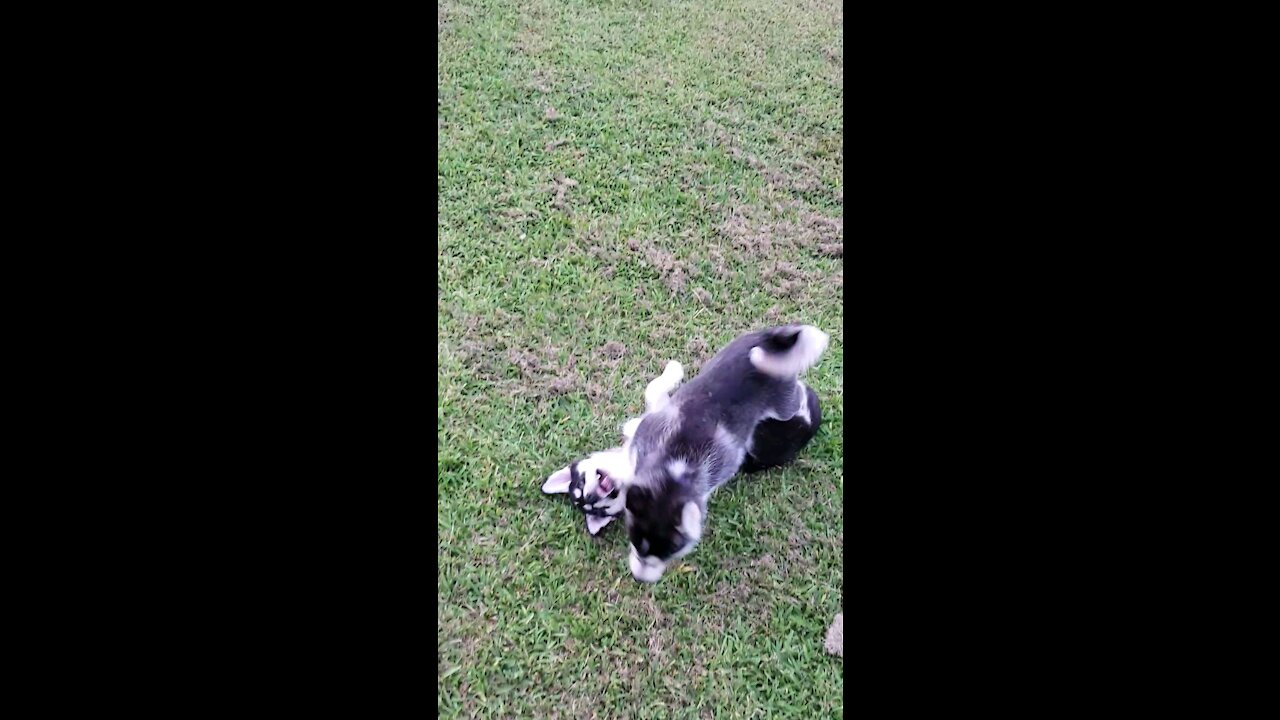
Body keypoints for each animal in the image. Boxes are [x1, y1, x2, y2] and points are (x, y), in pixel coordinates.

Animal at [622, 322, 829, 579]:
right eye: (636, 544)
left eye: (669, 554)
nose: (640, 579)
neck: (673, 467)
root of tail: (769, 340)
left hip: (784, 403)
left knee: (799, 395)